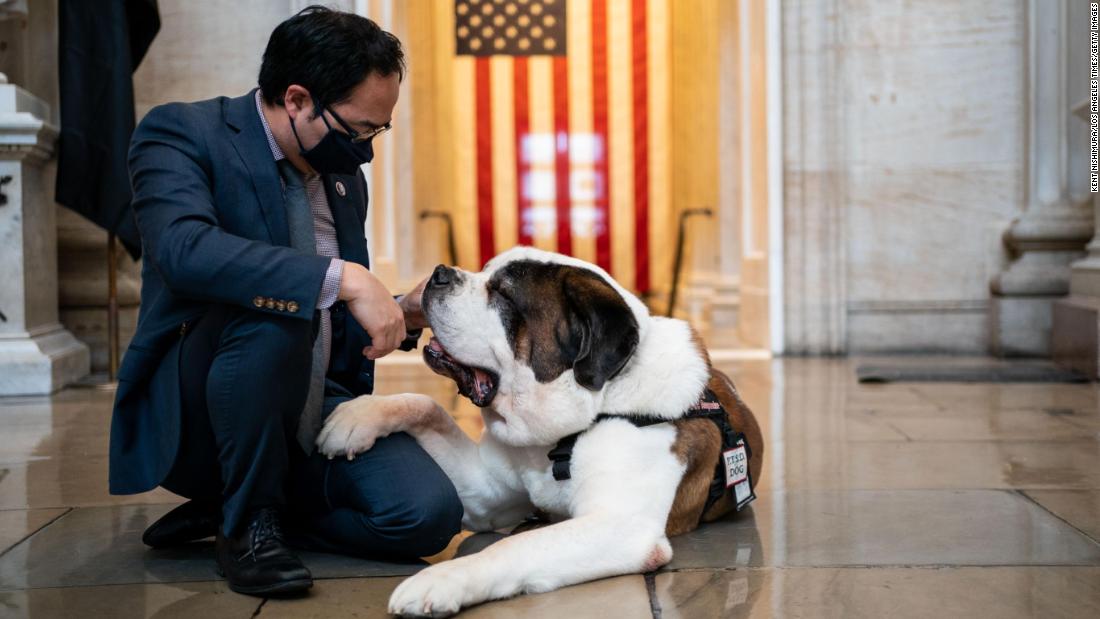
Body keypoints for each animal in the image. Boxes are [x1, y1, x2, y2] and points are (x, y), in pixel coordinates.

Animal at [319, 247, 765, 615]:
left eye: (503, 295)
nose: (440, 273)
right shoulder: (485, 496)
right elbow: (427, 406)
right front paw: (357, 416)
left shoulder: (622, 525)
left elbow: (514, 545)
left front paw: (441, 580)